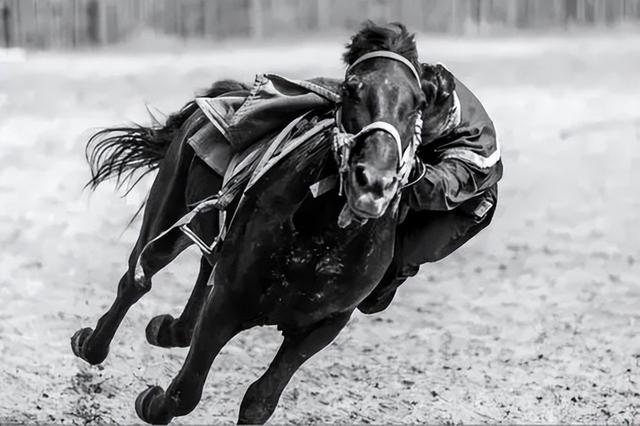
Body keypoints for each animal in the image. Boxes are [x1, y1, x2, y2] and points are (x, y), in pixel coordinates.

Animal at [71, 22, 444, 422]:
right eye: (350, 89)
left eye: (418, 103)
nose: (373, 181)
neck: (321, 239)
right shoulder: (227, 304)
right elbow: (186, 392)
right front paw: (151, 402)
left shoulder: (323, 325)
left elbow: (259, 401)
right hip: (166, 217)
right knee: (137, 279)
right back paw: (91, 344)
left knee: (200, 275)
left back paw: (168, 328)